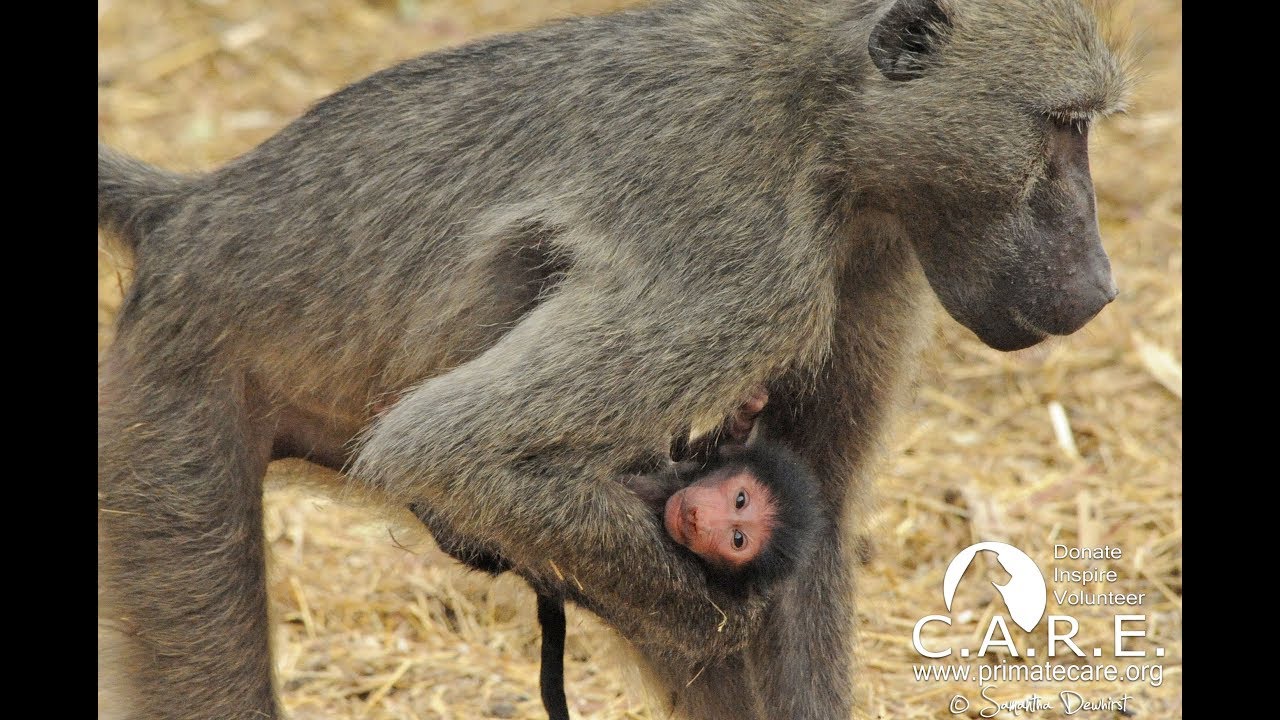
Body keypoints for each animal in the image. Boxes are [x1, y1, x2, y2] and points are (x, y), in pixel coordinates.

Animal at [97, 0, 1129, 717]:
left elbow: (816, 517)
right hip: (174, 401)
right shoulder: (745, 259)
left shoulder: (877, 252)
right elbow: (446, 448)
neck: (824, 118)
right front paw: (727, 610)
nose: (1098, 285)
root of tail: (194, 210)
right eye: (1064, 123)